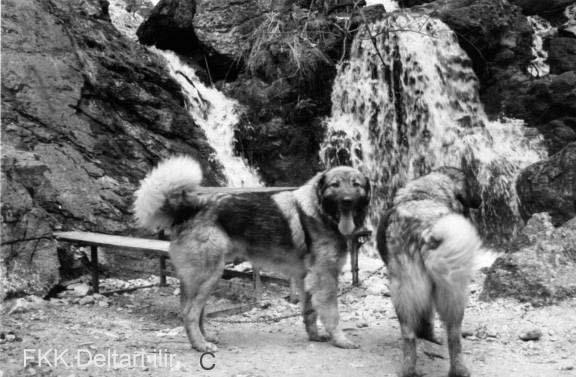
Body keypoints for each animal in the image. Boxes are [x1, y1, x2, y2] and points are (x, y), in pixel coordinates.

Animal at [134, 155, 368, 350]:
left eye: (356, 185)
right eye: (335, 185)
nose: (347, 201)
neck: (320, 211)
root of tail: (191, 207)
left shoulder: (306, 279)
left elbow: (309, 313)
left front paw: (315, 336)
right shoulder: (325, 277)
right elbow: (332, 315)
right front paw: (341, 340)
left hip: (203, 278)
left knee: (194, 311)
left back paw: (203, 338)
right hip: (209, 275)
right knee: (189, 314)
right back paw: (200, 345)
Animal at [376, 167, 484, 376]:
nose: (481, 199)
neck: (424, 194)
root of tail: (427, 230)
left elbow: (425, 317)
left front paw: (426, 335)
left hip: (403, 291)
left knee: (409, 336)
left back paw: (409, 368)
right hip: (452, 293)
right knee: (454, 337)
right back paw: (458, 369)